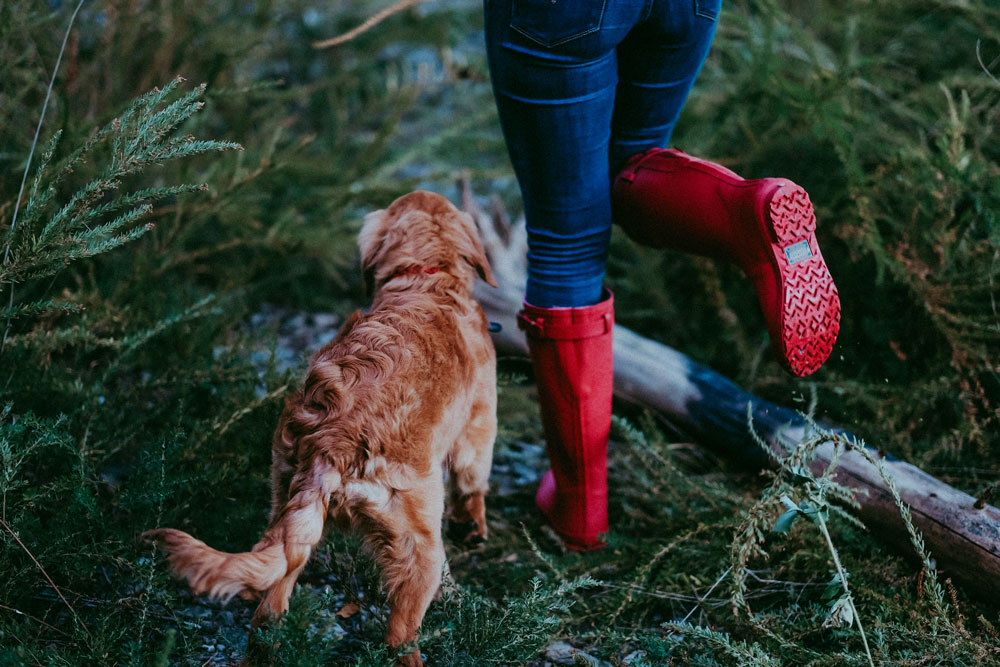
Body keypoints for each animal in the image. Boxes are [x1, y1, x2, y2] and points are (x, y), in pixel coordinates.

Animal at [144, 190, 496, 664]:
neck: (424, 278)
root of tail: (334, 444)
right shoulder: (480, 422)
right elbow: (473, 481)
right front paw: (473, 527)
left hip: (285, 504)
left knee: (267, 610)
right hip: (419, 546)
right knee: (400, 635)